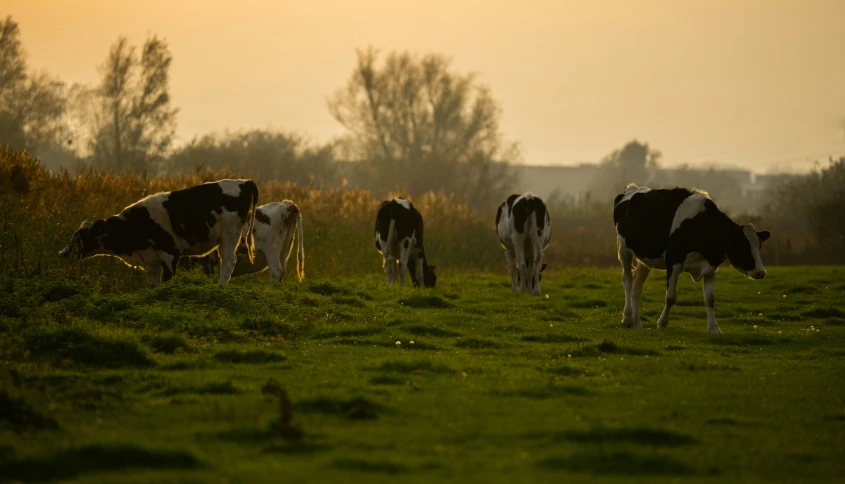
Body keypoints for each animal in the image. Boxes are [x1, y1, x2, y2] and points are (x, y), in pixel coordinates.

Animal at [59, 180, 258, 286]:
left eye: (80, 238)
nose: (62, 253)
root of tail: (244, 182)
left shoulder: (170, 254)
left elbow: (167, 280)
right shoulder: (150, 260)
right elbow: (152, 284)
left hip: (230, 235)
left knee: (228, 262)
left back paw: (220, 286)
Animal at [616, 183, 768, 334]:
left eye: (759, 246)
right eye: (743, 247)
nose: (761, 272)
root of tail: (632, 188)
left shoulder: (711, 268)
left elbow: (710, 299)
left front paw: (714, 328)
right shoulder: (673, 261)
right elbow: (670, 297)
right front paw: (662, 324)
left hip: (645, 259)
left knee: (637, 288)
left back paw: (637, 324)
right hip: (623, 249)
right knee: (627, 280)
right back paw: (627, 318)